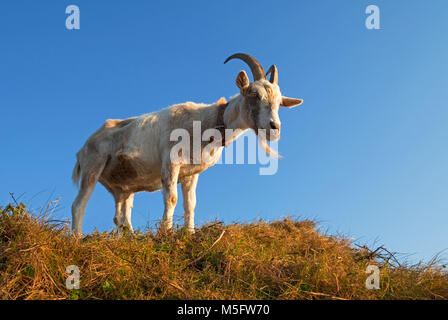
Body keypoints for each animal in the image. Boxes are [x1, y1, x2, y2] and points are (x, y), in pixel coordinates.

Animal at [72, 53, 302, 235]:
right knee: (79, 204)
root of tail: (82, 149)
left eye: (279, 102)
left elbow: (190, 203)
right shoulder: (170, 162)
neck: (206, 121)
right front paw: (166, 232)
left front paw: (189, 233)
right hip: (93, 165)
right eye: (254, 95)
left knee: (121, 216)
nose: (274, 127)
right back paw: (77, 238)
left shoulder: (191, 173)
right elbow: (172, 198)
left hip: (124, 186)